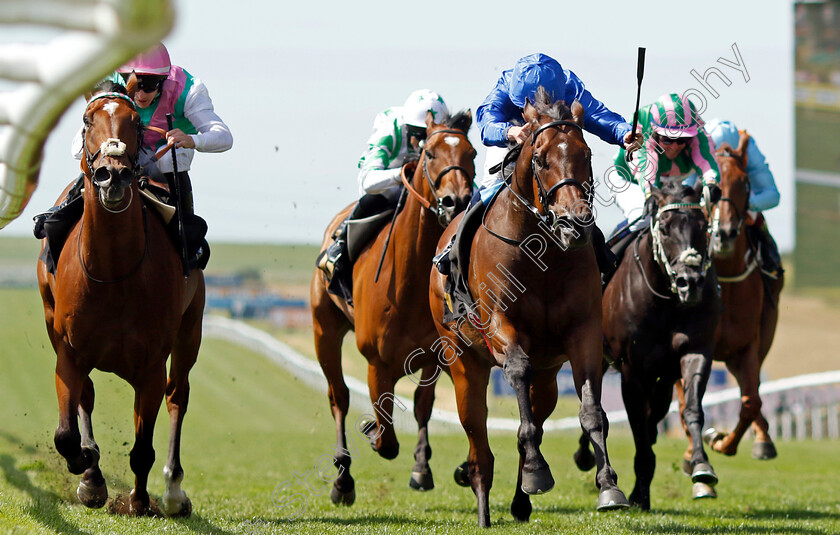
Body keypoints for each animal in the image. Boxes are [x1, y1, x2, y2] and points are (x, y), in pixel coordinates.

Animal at [34, 81, 205, 516]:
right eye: (85, 120)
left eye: (136, 125)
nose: (112, 175)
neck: (113, 271)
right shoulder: (68, 351)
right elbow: (66, 432)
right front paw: (87, 468)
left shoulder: (151, 365)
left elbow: (143, 447)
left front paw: (140, 501)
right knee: (88, 397)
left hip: (190, 331)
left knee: (178, 396)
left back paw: (173, 491)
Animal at [312, 110, 476, 506]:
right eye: (430, 154)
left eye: (472, 153)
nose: (457, 201)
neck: (408, 284)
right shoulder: (377, 363)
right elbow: (385, 439)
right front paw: (371, 430)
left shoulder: (438, 353)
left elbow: (424, 404)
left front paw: (425, 468)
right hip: (325, 330)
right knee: (338, 396)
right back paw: (342, 479)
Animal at [430, 88, 628, 528]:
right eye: (540, 159)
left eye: (587, 154)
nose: (574, 224)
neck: (543, 256)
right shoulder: (501, 326)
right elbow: (517, 372)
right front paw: (537, 470)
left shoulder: (583, 333)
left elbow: (592, 411)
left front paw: (608, 484)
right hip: (465, 366)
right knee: (478, 442)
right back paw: (484, 503)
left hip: (549, 376)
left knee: (535, 412)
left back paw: (521, 498)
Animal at [576, 182, 720, 508]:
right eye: (664, 228)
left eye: (703, 225)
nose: (691, 282)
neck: (666, 300)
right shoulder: (633, 371)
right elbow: (639, 428)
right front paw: (639, 494)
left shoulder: (695, 352)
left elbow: (691, 409)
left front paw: (702, 466)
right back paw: (584, 455)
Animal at [672, 132, 784, 472]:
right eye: (708, 187)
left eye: (745, 183)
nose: (724, 233)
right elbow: (686, 401)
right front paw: (698, 449)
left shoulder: (746, 347)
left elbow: (751, 401)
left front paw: (723, 441)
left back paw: (762, 438)